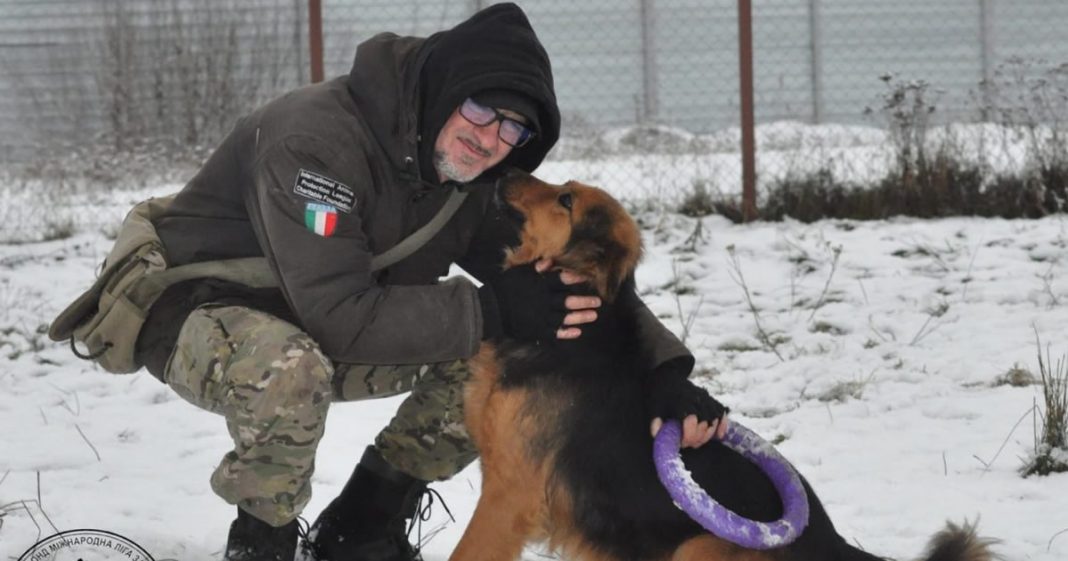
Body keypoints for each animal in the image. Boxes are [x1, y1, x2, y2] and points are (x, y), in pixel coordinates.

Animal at [450, 169, 999, 559]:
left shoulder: (509, 496)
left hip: (700, 545)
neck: (567, 325)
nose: (508, 168)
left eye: (565, 200)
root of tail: (830, 542)